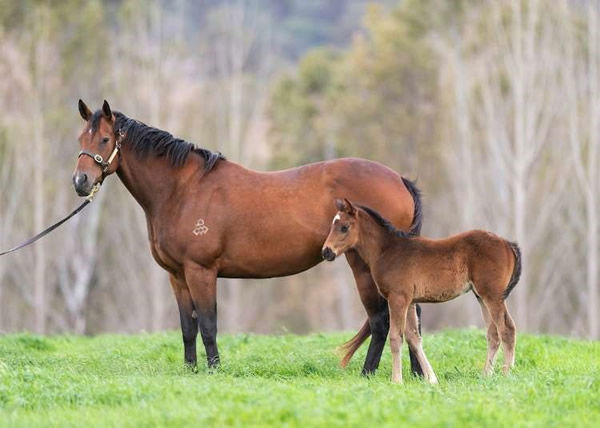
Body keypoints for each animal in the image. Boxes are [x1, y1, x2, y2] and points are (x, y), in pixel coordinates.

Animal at [324, 200, 520, 384]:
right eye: (332, 225)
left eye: (344, 227)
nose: (326, 252)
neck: (388, 250)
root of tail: (507, 243)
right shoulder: (409, 301)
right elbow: (413, 338)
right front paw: (431, 379)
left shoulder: (397, 298)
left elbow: (395, 337)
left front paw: (397, 380)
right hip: (481, 296)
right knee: (493, 333)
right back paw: (486, 375)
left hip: (492, 296)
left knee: (506, 329)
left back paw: (506, 374)